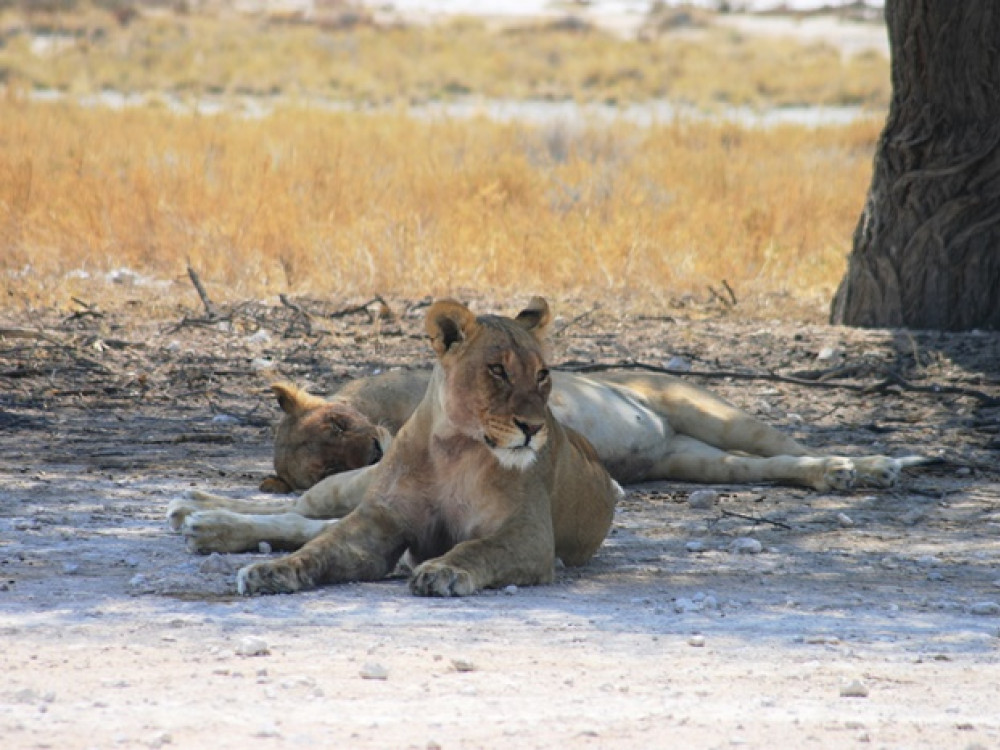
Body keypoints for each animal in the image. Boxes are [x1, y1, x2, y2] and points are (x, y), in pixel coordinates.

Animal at [173, 300, 624, 600]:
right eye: (497, 370)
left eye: (543, 374)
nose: (532, 428)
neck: (456, 449)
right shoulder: (380, 520)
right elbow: (317, 550)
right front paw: (271, 571)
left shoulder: (530, 535)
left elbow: (477, 548)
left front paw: (443, 569)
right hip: (352, 487)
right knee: (299, 514)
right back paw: (195, 512)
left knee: (301, 520)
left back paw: (199, 522)